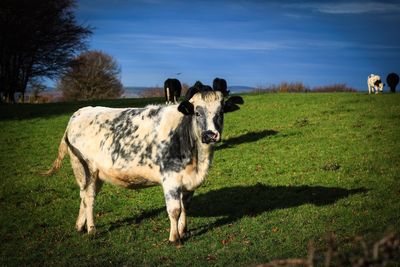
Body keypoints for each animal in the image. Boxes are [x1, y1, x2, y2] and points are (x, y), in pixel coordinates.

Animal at [44, 90, 244, 245]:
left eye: (221, 112)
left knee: (84, 196)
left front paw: (183, 230)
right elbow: (175, 210)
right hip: (85, 167)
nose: (210, 134)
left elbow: (185, 206)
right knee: (89, 197)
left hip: (96, 173)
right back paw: (91, 229)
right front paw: (174, 238)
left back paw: (80, 226)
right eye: (197, 113)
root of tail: (79, 113)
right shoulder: (170, 179)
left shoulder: (188, 182)